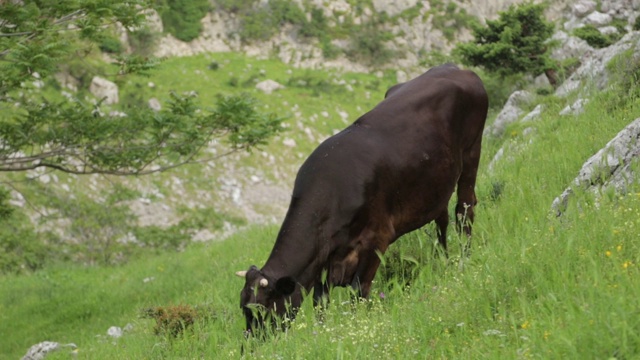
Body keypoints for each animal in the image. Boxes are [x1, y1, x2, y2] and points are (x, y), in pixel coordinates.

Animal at [238, 63, 488, 334]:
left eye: (263, 309)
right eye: (244, 309)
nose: (253, 341)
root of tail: (455, 67)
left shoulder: (376, 240)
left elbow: (359, 293)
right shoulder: (324, 259)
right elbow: (320, 301)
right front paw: (322, 332)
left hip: (472, 151)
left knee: (464, 210)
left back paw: (464, 259)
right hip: (436, 181)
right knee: (441, 218)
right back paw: (444, 259)